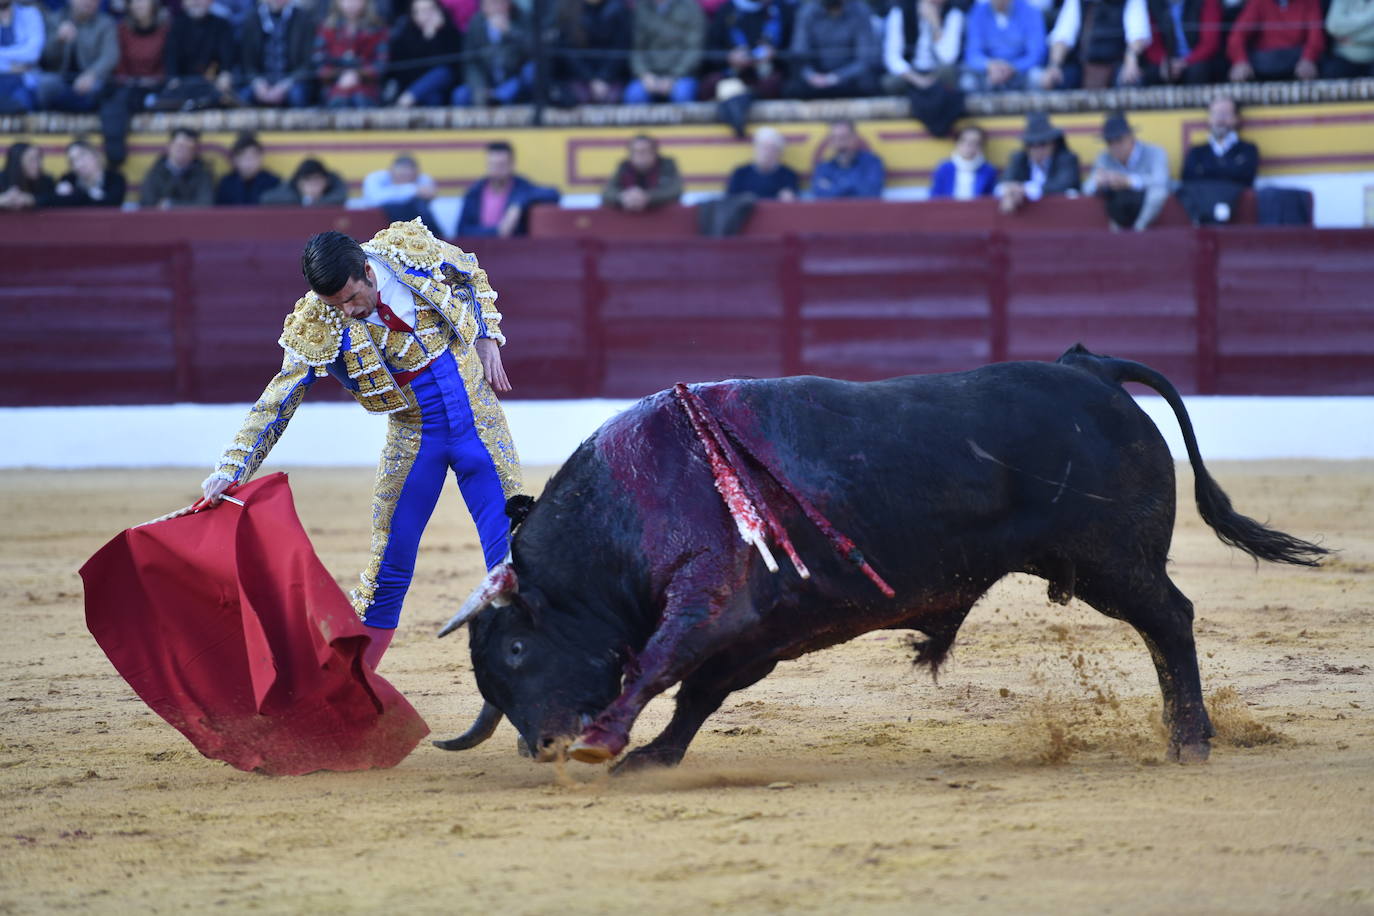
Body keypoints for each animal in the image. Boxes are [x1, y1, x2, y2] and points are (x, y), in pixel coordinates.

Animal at [434, 347, 1324, 769]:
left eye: (517, 648)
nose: (543, 746)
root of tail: (1089, 368)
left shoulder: (710, 600)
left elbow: (658, 667)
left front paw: (608, 743)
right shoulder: (763, 631)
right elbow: (701, 694)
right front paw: (654, 758)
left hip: (1115, 561)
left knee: (1170, 620)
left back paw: (1191, 739)